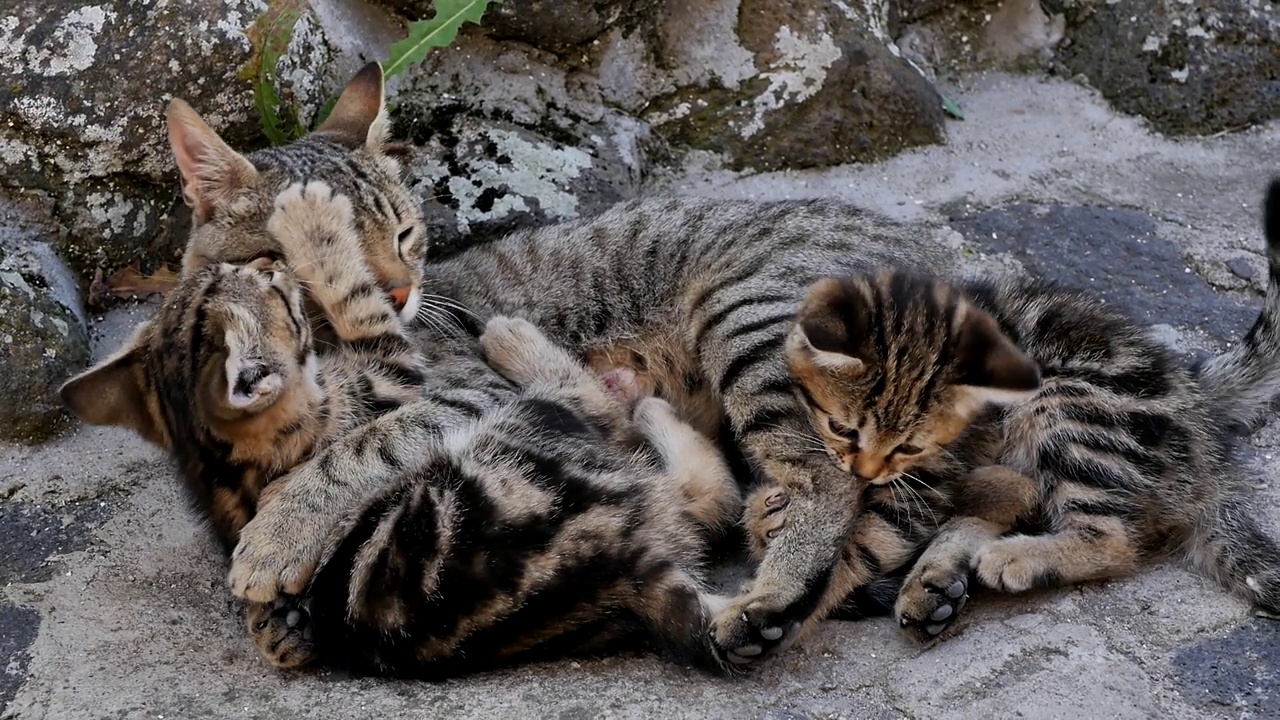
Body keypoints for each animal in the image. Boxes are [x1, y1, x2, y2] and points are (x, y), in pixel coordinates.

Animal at [747, 180, 1280, 638]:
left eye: (910, 446)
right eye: (842, 427)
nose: (865, 472)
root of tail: (1201, 420)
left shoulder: (926, 474)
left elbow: (860, 540)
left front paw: (764, 605)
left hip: (1067, 408)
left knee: (1111, 538)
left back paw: (1011, 559)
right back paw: (937, 578)